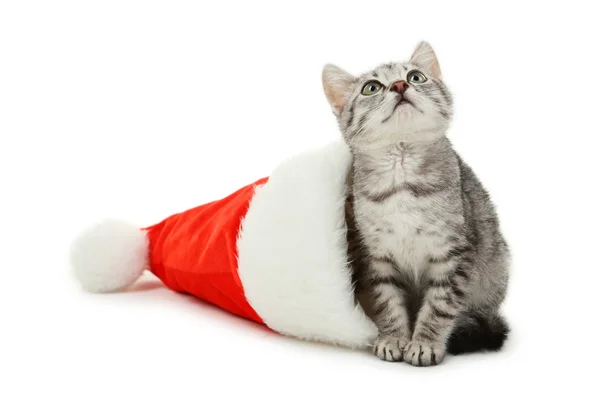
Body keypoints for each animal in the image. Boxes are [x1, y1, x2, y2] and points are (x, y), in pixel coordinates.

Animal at [324, 42, 510, 368]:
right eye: (371, 87)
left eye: (416, 76)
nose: (400, 85)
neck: (401, 181)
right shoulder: (376, 257)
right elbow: (387, 301)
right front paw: (393, 338)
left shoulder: (453, 255)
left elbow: (439, 306)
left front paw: (424, 343)